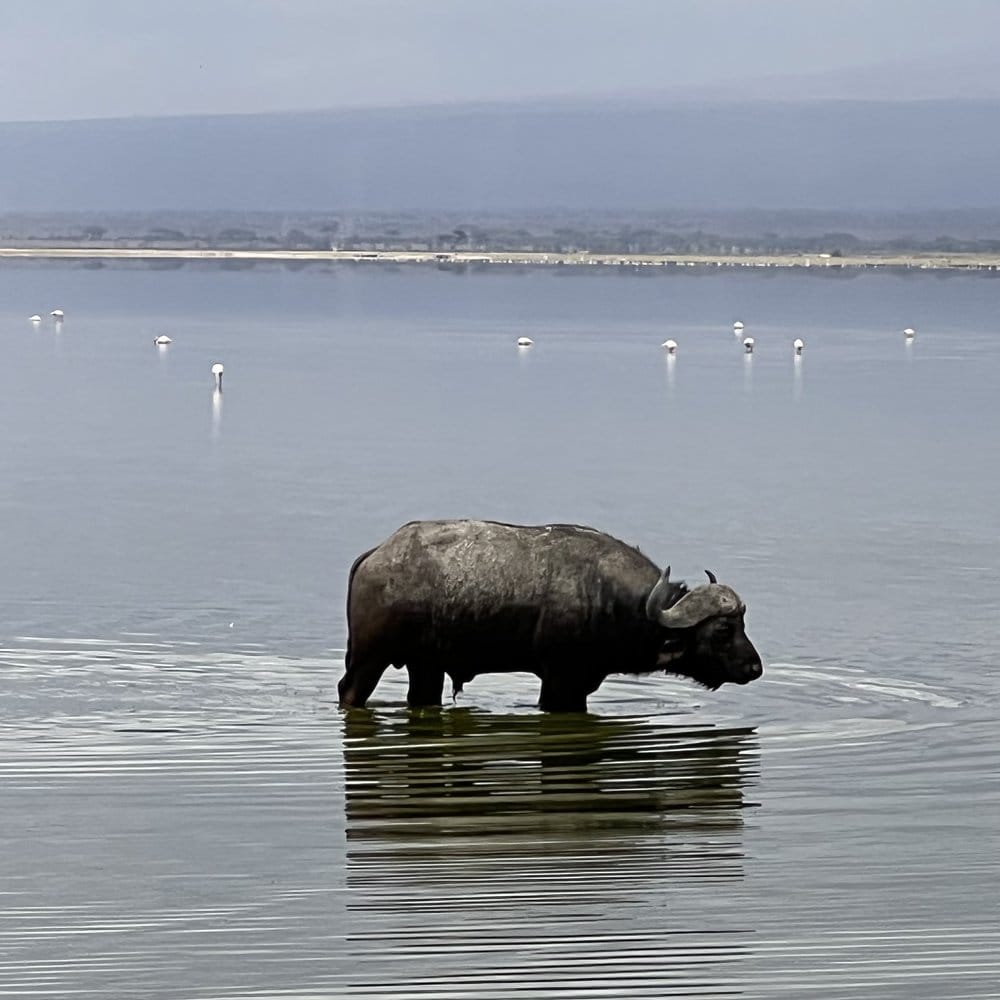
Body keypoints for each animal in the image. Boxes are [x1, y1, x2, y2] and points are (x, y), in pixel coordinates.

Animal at [338, 520, 762, 712]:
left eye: (743, 624)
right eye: (723, 629)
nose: (755, 668)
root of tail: (376, 554)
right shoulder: (561, 680)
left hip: (425, 666)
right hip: (368, 660)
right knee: (349, 692)